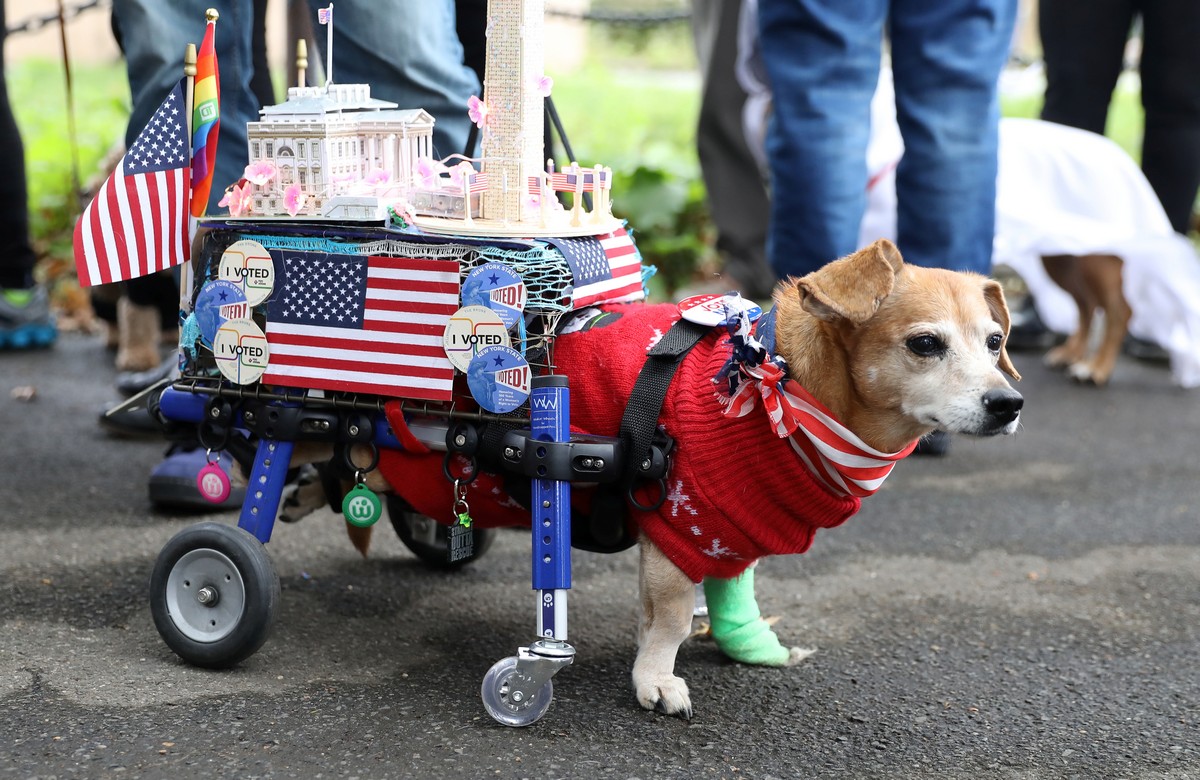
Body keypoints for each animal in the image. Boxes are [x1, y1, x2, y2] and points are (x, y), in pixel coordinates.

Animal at [278, 238, 1022, 715]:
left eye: (994, 343)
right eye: (924, 344)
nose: (1009, 404)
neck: (784, 392)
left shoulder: (728, 528)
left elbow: (730, 591)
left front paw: (748, 644)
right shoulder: (675, 531)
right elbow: (669, 619)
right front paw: (656, 680)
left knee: (350, 470)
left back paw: (313, 491)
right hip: (295, 421)